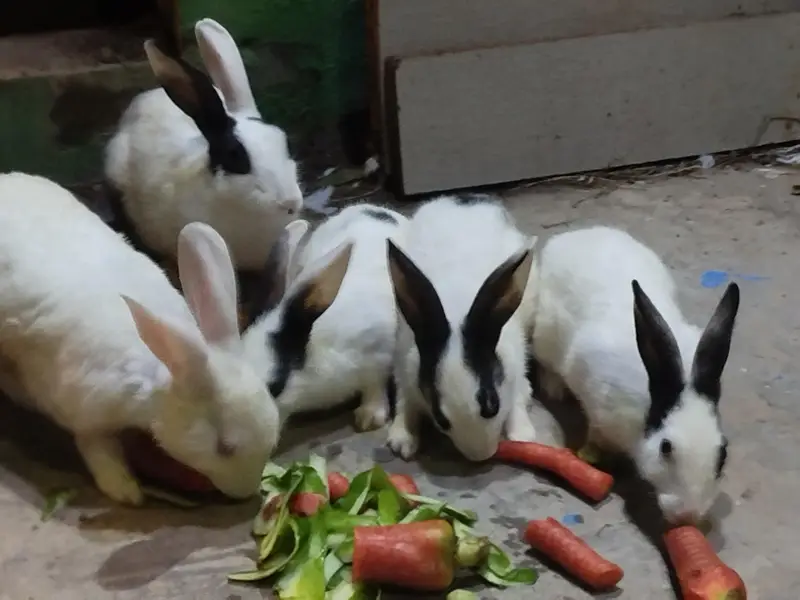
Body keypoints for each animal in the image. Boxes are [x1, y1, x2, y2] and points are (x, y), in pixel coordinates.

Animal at [384, 195, 538, 462]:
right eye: (440, 418)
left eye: (492, 404)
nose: (481, 456)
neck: (457, 310)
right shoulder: (404, 366)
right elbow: (404, 400)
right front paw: (402, 440)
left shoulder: (515, 367)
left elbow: (517, 398)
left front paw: (523, 435)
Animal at [530, 225, 740, 524]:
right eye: (666, 447)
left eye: (722, 452)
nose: (688, 516)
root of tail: (573, 235)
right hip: (545, 335)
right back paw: (554, 386)